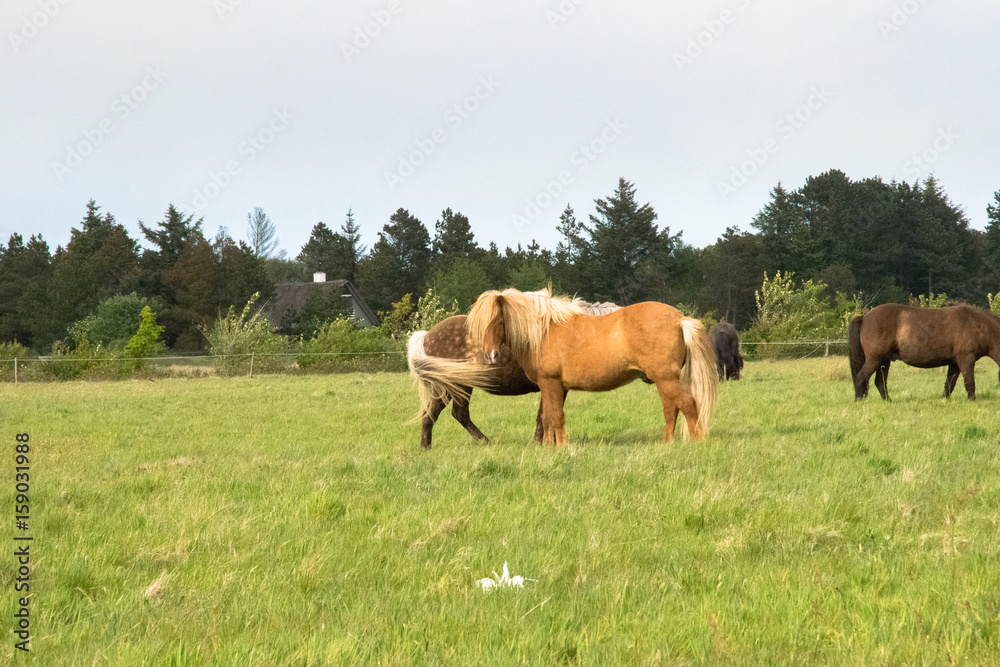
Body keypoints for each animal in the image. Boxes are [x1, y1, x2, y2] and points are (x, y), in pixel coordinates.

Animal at [406, 298, 624, 448]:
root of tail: (426, 335)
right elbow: (547, 414)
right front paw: (542, 443)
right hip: (455, 385)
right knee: (445, 414)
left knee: (448, 414)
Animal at [468, 290, 720, 446]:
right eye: (478, 324)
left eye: (499, 321)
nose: (491, 356)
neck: (544, 331)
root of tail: (679, 319)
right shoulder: (548, 386)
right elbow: (548, 417)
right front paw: (549, 448)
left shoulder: (551, 383)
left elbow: (556, 416)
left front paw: (562, 448)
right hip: (663, 380)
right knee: (671, 410)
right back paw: (666, 444)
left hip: (666, 378)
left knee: (688, 405)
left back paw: (696, 444)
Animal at [848, 304, 1000, 402]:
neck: (977, 324)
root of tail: (864, 318)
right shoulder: (966, 359)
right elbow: (969, 382)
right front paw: (972, 401)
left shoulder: (955, 363)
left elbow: (949, 384)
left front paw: (944, 401)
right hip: (874, 359)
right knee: (861, 378)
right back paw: (858, 401)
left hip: (883, 361)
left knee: (879, 382)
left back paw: (888, 401)